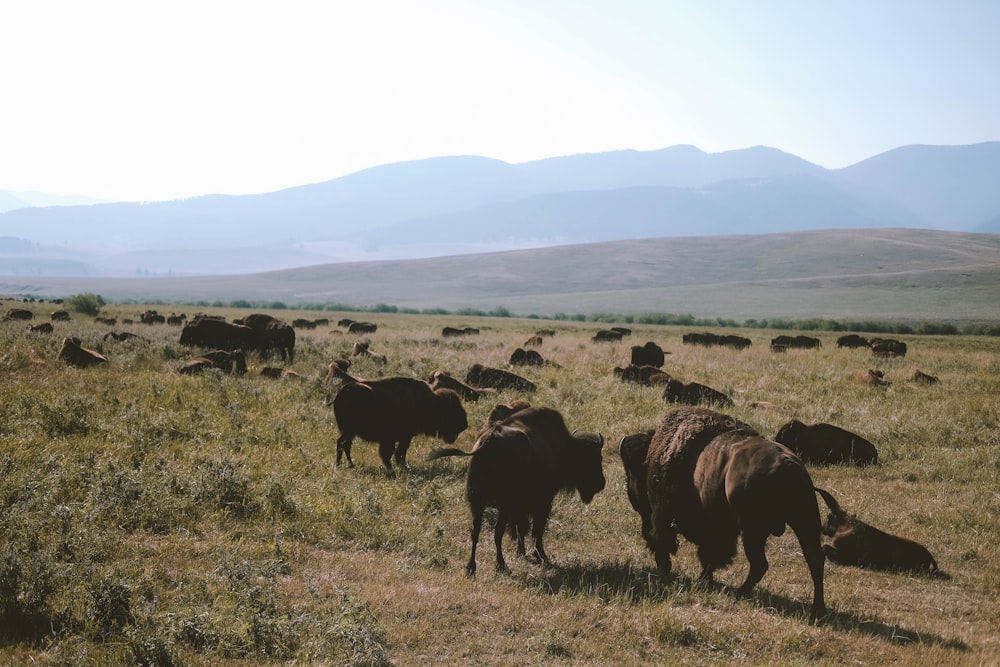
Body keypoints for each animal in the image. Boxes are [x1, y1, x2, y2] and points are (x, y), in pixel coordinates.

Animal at [330, 376, 466, 474]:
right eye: (451, 410)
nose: (464, 424)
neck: (430, 403)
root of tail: (341, 393)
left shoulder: (404, 438)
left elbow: (399, 452)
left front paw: (402, 467)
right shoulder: (399, 438)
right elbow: (394, 452)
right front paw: (396, 468)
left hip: (350, 432)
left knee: (345, 444)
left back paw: (349, 465)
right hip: (349, 431)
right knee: (342, 443)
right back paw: (342, 465)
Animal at [428, 404, 604, 576]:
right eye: (595, 458)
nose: (601, 484)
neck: (562, 446)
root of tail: (490, 440)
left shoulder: (520, 507)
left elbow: (521, 528)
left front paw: (522, 553)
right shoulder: (543, 502)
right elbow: (536, 529)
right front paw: (541, 556)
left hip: (477, 501)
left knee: (475, 531)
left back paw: (471, 568)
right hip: (503, 504)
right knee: (498, 532)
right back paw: (501, 565)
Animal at [620, 410, 832, 624]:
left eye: (633, 476)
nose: (644, 531)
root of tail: (791, 466)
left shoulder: (666, 514)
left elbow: (680, 544)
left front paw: (672, 569)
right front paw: (704, 579)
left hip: (753, 530)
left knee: (760, 564)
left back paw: (739, 593)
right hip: (804, 523)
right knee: (814, 560)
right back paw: (818, 610)